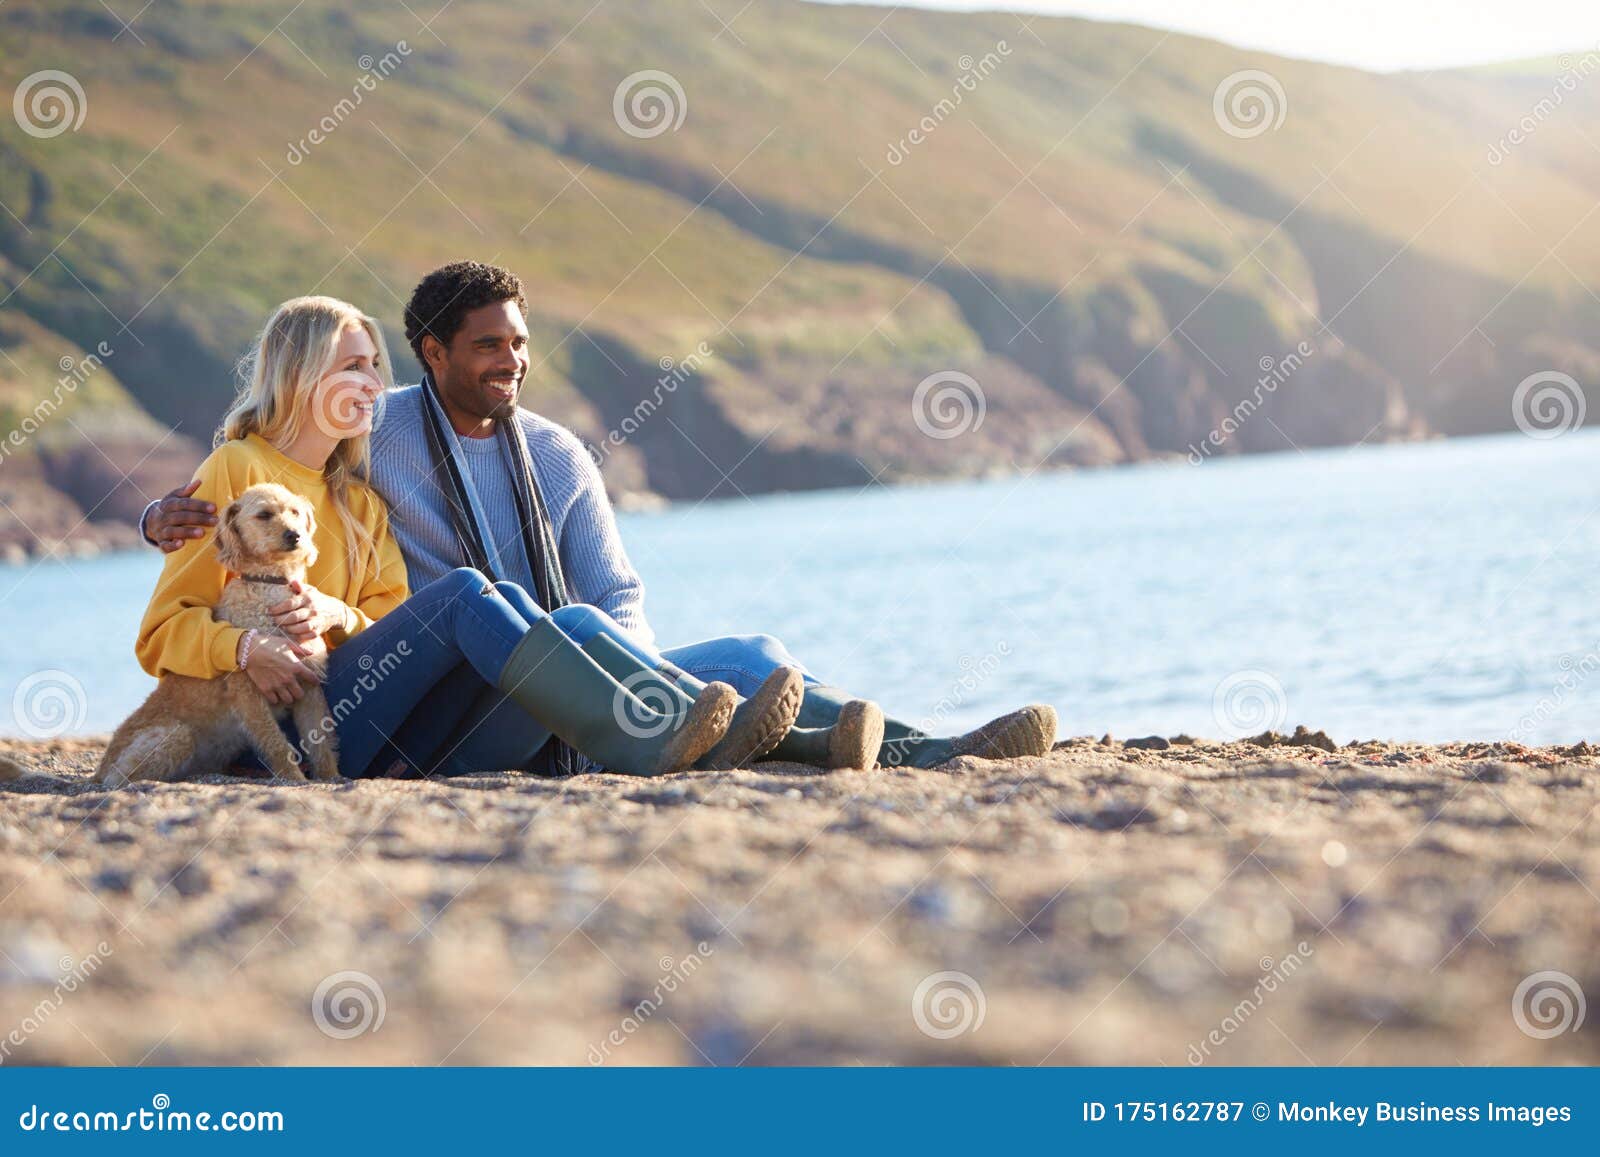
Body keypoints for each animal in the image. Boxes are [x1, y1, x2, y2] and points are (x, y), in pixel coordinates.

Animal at [1, 483, 340, 790]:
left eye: (295, 513)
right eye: (264, 514)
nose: (294, 536)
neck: (269, 586)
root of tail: (98, 771)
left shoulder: (310, 687)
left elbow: (321, 740)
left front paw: (331, 778)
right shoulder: (250, 694)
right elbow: (277, 744)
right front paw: (295, 780)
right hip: (176, 735)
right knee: (119, 780)